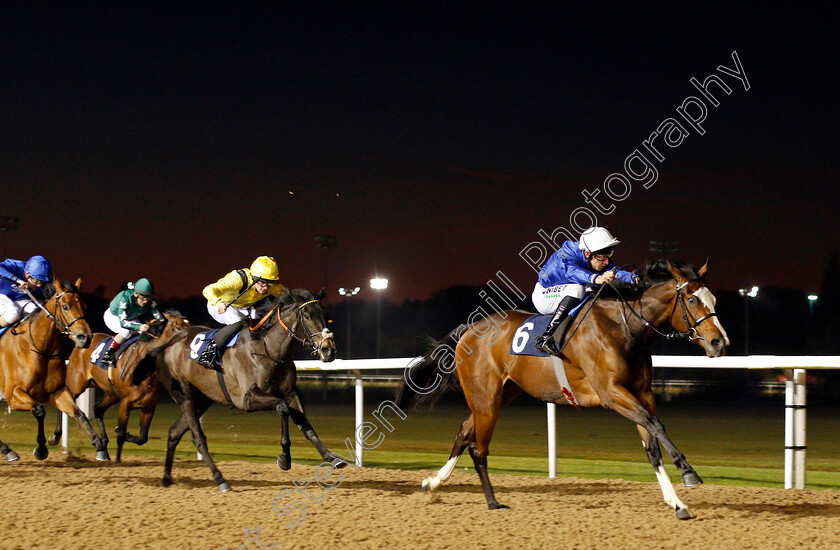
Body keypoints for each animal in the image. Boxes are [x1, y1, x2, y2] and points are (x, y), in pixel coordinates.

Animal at [0, 278, 110, 464]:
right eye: (65, 307)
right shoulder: (13, 395)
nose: (85, 338)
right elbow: (39, 410)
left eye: (85, 306)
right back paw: (7, 450)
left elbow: (79, 413)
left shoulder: (57, 391)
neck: (39, 349)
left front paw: (100, 447)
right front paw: (41, 448)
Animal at [51, 310, 193, 462]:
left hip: (111, 393)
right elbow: (121, 436)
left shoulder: (149, 406)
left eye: (190, 325)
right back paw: (56, 436)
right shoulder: (125, 403)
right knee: (64, 403)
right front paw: (118, 458)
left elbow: (142, 438)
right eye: (178, 327)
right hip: (77, 383)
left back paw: (103, 448)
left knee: (98, 409)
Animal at [139, 288, 342, 492]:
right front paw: (284, 458)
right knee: (198, 438)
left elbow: (305, 425)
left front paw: (331, 457)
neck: (268, 349)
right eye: (307, 316)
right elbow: (282, 408)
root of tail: (165, 345)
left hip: (203, 399)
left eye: (325, 316)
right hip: (184, 395)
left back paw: (166, 478)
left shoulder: (290, 392)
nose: (328, 350)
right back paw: (220, 479)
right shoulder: (247, 399)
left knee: (174, 432)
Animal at [394, 260, 728, 520]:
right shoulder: (611, 393)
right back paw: (491, 502)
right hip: (486, 399)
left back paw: (435, 481)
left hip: (501, 395)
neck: (624, 328)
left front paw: (677, 503)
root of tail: (470, 329)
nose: (719, 342)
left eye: (713, 299)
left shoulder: (642, 393)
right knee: (478, 447)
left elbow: (652, 446)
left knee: (464, 432)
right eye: (692, 300)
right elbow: (655, 424)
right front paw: (689, 472)